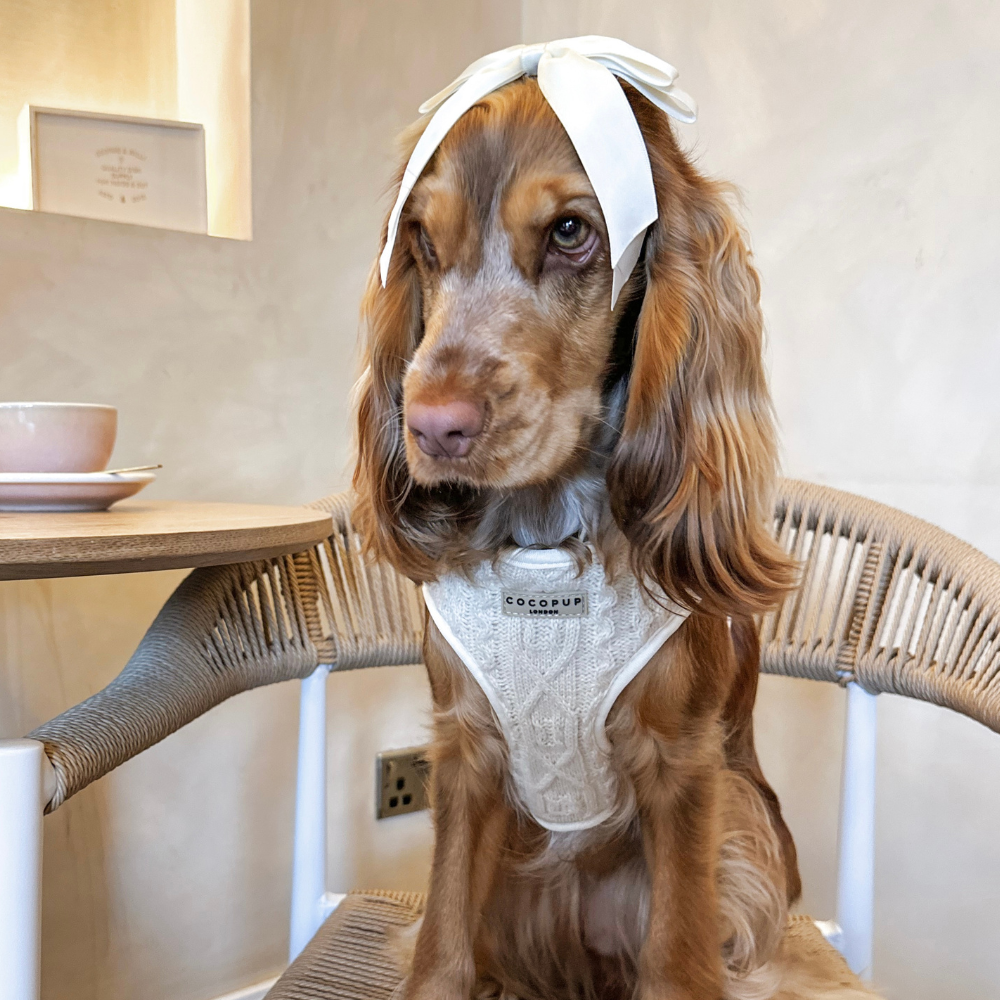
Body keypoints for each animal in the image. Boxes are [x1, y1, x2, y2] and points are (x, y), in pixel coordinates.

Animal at [350, 76, 876, 1000]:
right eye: (422, 241)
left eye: (570, 232)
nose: (433, 427)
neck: (546, 544)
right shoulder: (465, 746)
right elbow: (441, 947)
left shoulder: (685, 763)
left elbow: (677, 961)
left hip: (744, 840)